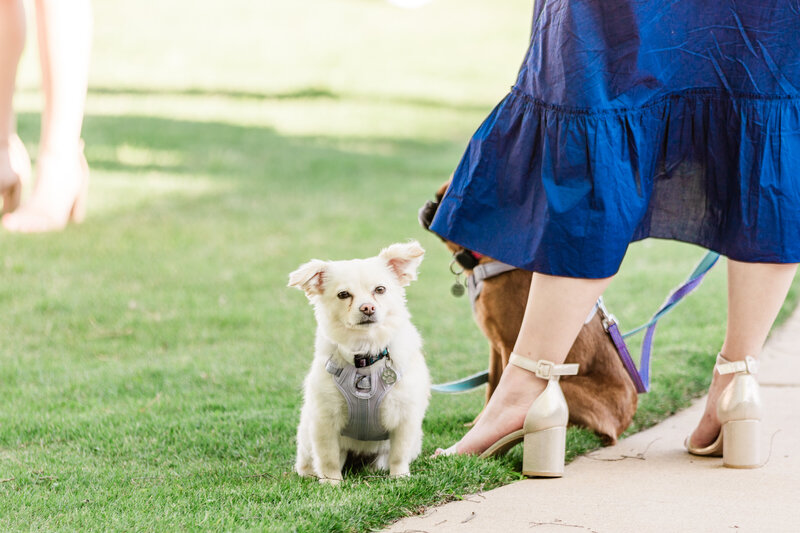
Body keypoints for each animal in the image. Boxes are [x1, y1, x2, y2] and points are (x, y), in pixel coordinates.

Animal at [290, 241, 432, 482]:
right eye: (343, 294)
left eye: (380, 290)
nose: (367, 307)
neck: (365, 358)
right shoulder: (324, 419)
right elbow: (327, 458)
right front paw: (331, 483)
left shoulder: (405, 417)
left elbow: (398, 454)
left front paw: (400, 478)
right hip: (308, 437)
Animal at [418, 181, 636, 442]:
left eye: (445, 199)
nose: (429, 204)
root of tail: (623, 423)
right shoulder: (495, 348)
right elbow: (492, 386)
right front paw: (476, 423)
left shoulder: (509, 346)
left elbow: (500, 387)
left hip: (562, 387)